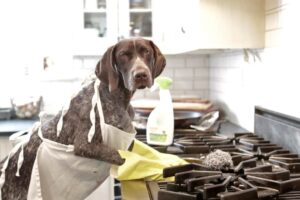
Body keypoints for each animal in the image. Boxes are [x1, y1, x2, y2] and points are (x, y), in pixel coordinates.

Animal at [0, 38, 166, 199]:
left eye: (146, 52)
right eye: (123, 55)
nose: (141, 75)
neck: (116, 96)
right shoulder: (85, 145)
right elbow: (122, 155)